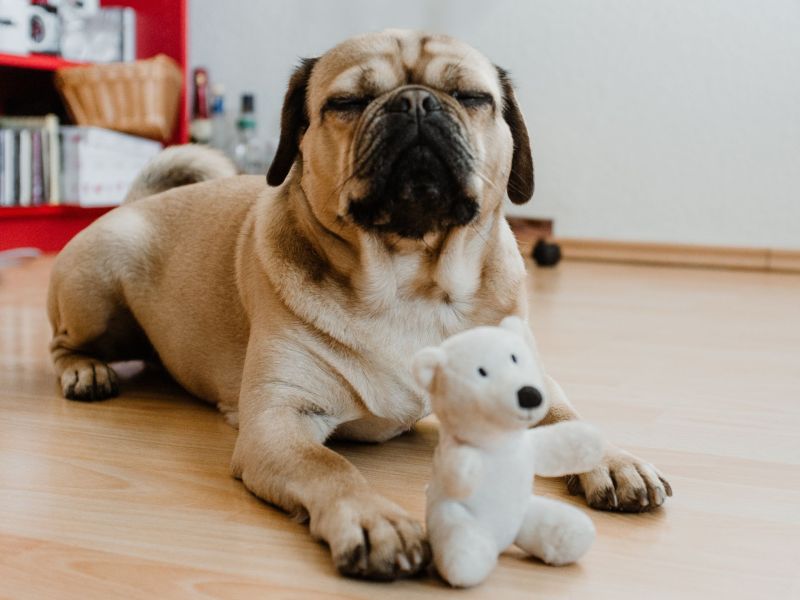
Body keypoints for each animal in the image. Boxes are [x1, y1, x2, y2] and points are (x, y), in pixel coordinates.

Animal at [47, 29, 672, 580]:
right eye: (346, 103)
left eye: (473, 98)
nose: (417, 102)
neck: (412, 281)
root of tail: (131, 204)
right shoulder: (279, 420)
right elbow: (332, 468)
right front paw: (376, 522)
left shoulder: (530, 381)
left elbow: (568, 415)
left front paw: (613, 460)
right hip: (99, 286)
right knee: (61, 343)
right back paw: (85, 371)